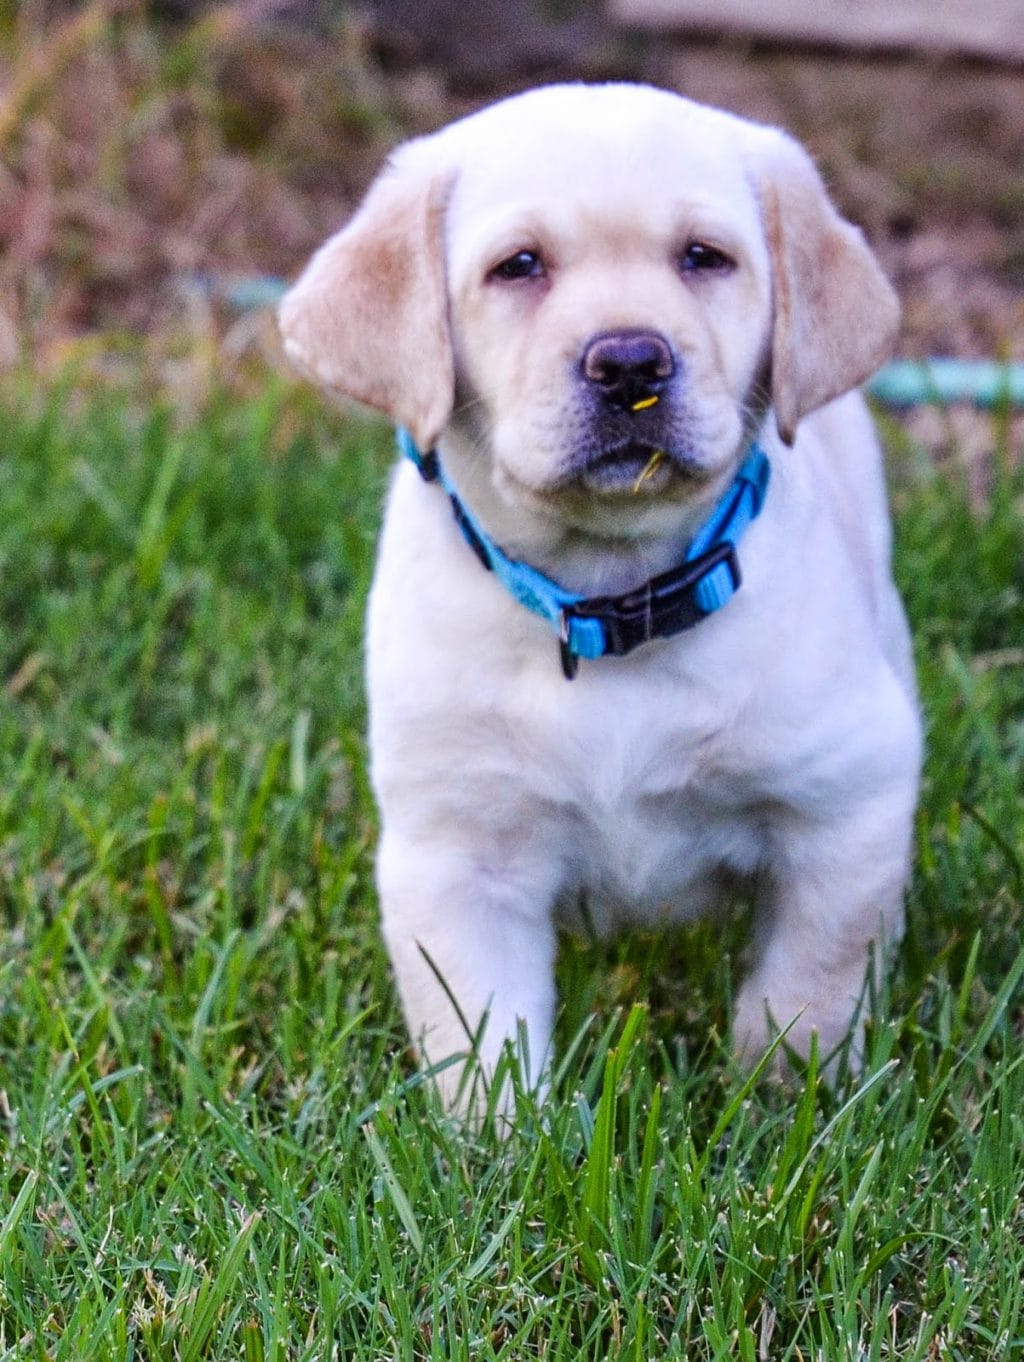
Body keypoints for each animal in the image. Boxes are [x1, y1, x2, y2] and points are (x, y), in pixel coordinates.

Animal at [277, 82, 920, 1105]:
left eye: (703, 258)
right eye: (520, 266)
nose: (629, 364)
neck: (614, 598)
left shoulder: (847, 803)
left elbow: (809, 983)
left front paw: (785, 1100)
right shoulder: (457, 849)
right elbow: (480, 1036)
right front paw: (500, 1138)